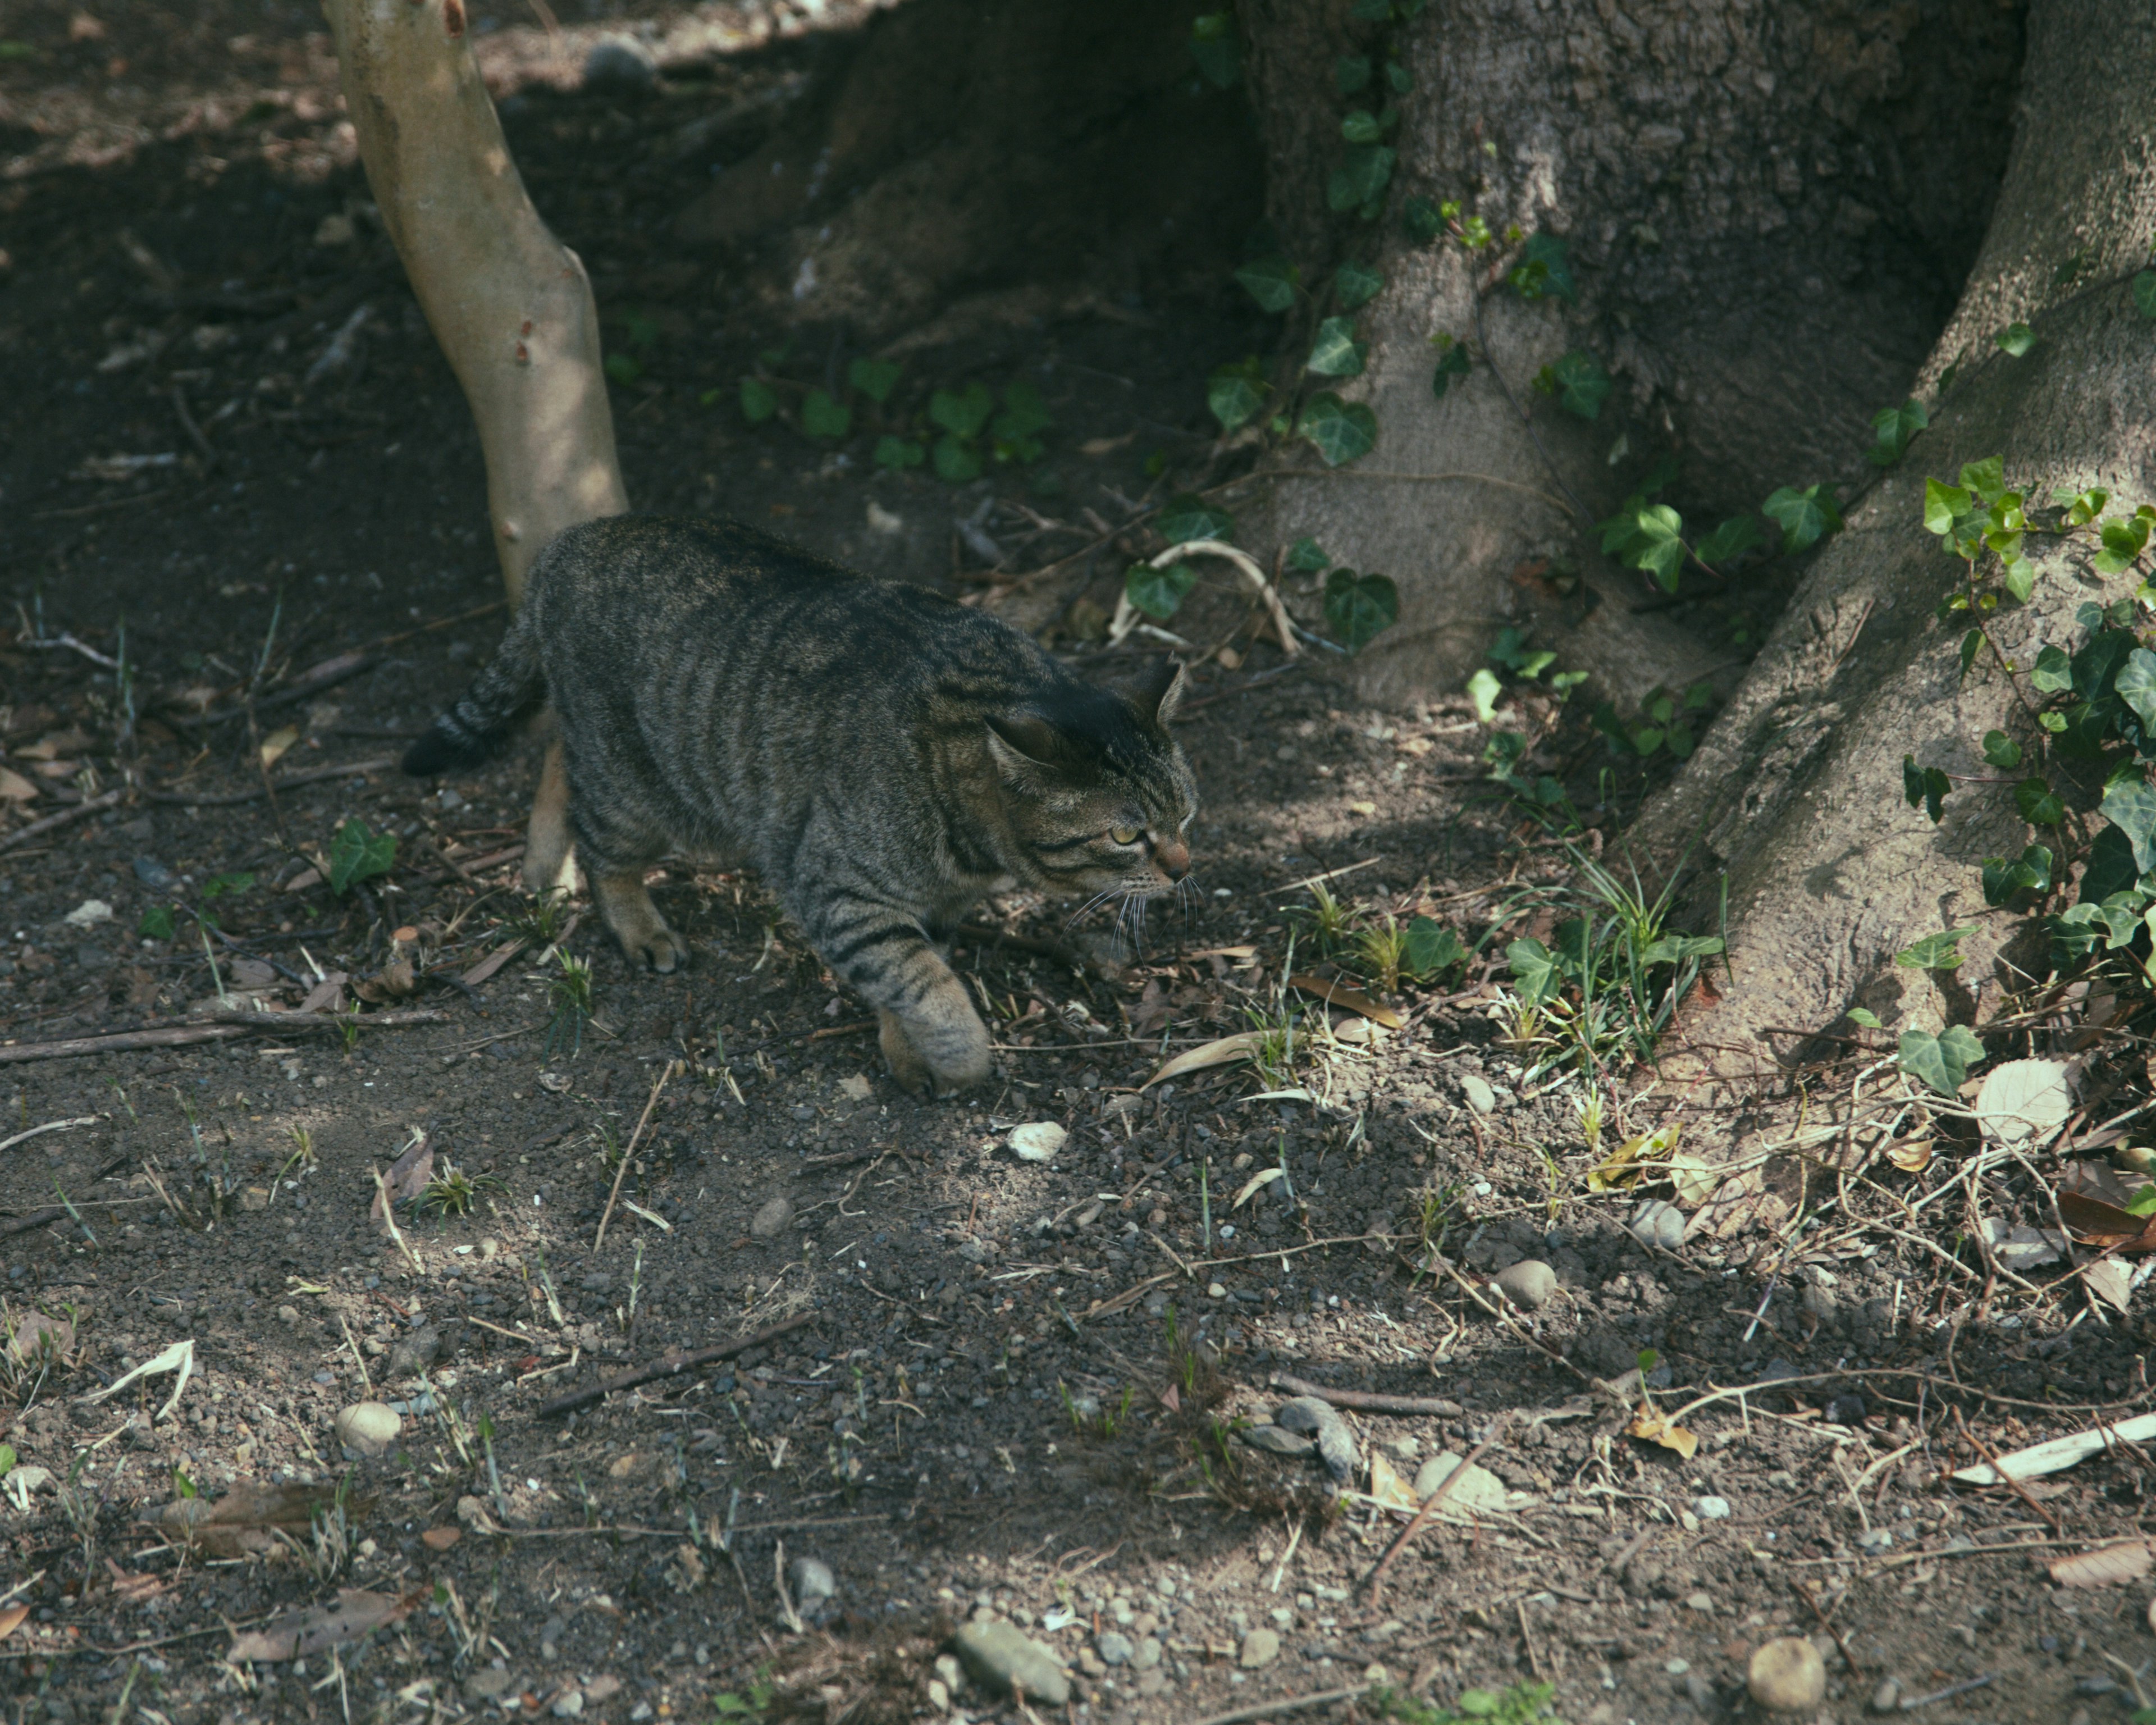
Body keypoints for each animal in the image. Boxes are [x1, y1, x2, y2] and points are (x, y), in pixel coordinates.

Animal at [401, 519, 1199, 1099]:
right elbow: (927, 986)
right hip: (636, 792)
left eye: (1187, 813)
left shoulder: (927, 906)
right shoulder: (834, 888)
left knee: (554, 763)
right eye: (1127, 833)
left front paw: (905, 1050)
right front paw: (963, 1060)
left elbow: (910, 976)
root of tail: (568, 542)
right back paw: (634, 923)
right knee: (601, 844)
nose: (1186, 869)